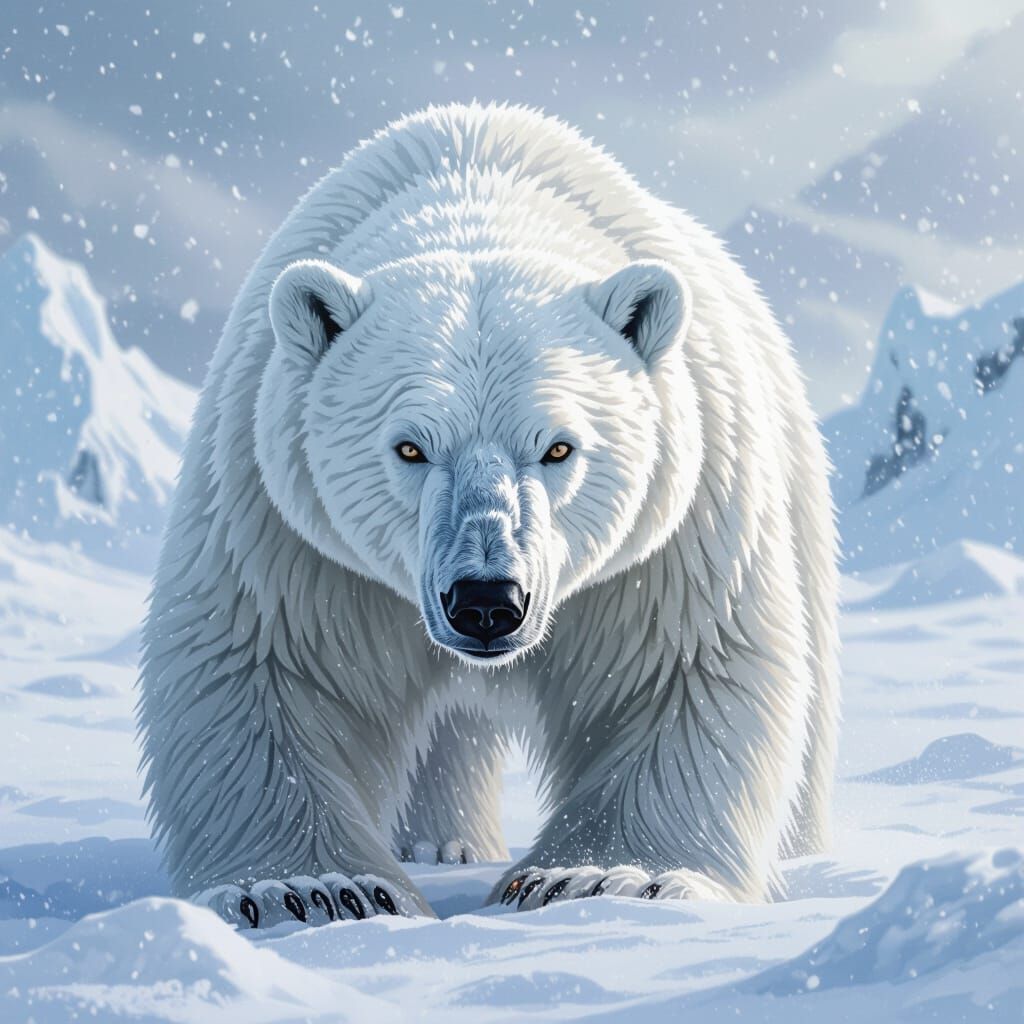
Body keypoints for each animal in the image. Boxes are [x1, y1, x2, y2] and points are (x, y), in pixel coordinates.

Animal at [137, 102, 839, 926]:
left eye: (558, 447)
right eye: (410, 447)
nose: (485, 601)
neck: (479, 193)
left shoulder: (674, 536)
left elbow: (683, 669)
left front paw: (600, 877)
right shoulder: (283, 525)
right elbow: (260, 669)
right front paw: (312, 890)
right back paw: (439, 843)